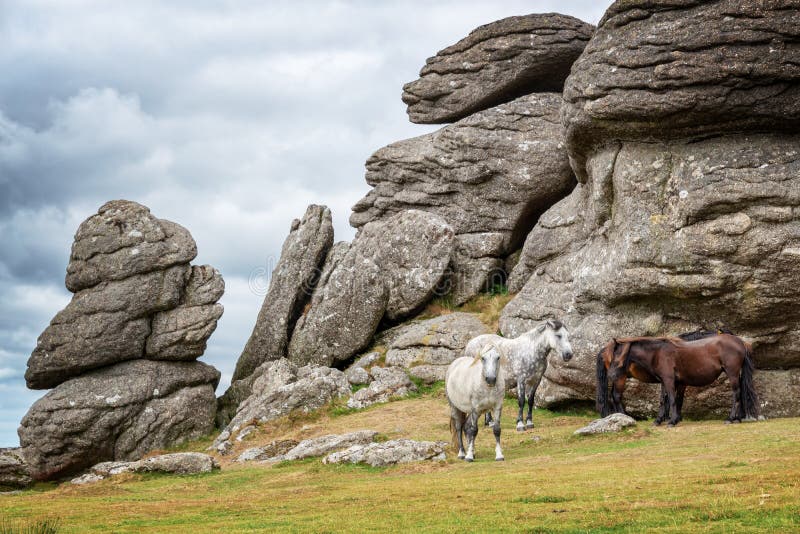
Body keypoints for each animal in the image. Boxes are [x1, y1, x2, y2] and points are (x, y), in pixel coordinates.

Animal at [596, 336, 760, 428]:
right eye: (611, 359)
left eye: (618, 359)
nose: (611, 375)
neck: (658, 353)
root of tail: (741, 342)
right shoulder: (664, 381)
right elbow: (664, 400)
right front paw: (659, 420)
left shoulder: (669, 380)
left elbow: (673, 399)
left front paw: (672, 421)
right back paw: (737, 419)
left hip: (732, 374)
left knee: (736, 394)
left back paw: (731, 418)